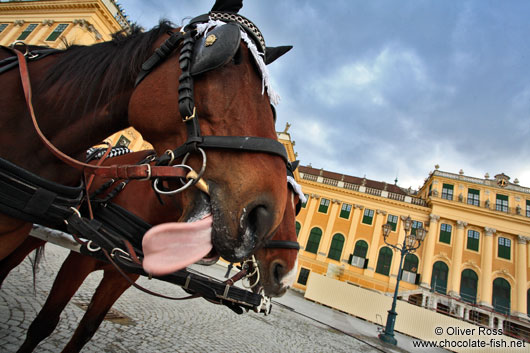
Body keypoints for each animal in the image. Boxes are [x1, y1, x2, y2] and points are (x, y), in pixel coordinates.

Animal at [0, 150, 300, 350]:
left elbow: (86, 330)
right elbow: (45, 322)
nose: (286, 274)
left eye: (298, 205)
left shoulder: (122, 276)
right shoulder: (79, 260)